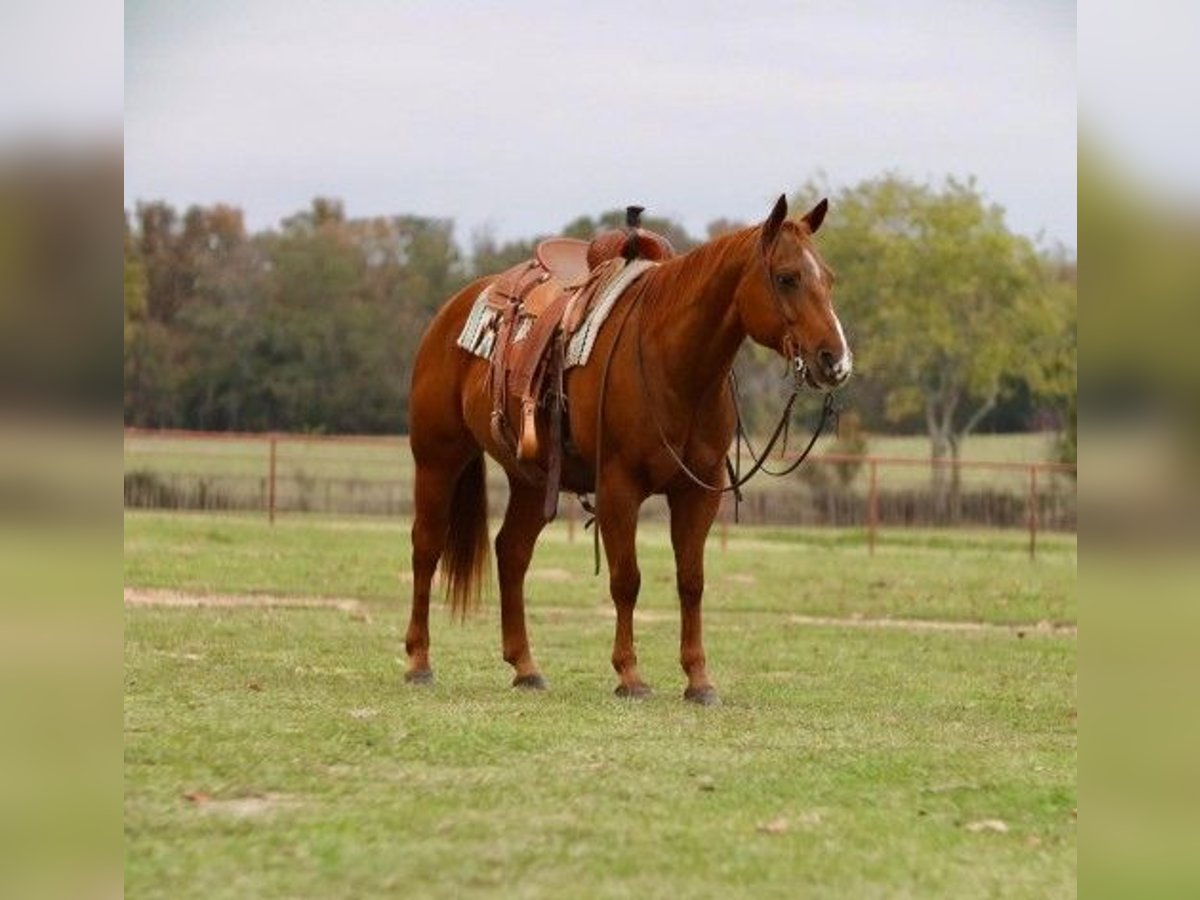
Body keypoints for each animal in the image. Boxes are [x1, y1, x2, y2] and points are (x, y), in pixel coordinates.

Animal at [408, 195, 849, 705]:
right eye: (787, 277)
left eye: (829, 277)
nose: (836, 361)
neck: (674, 365)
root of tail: (453, 308)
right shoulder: (619, 487)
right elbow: (627, 579)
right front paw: (630, 675)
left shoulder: (699, 491)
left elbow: (691, 581)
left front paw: (699, 680)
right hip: (437, 459)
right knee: (426, 546)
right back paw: (418, 661)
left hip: (530, 481)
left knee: (512, 553)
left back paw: (525, 667)